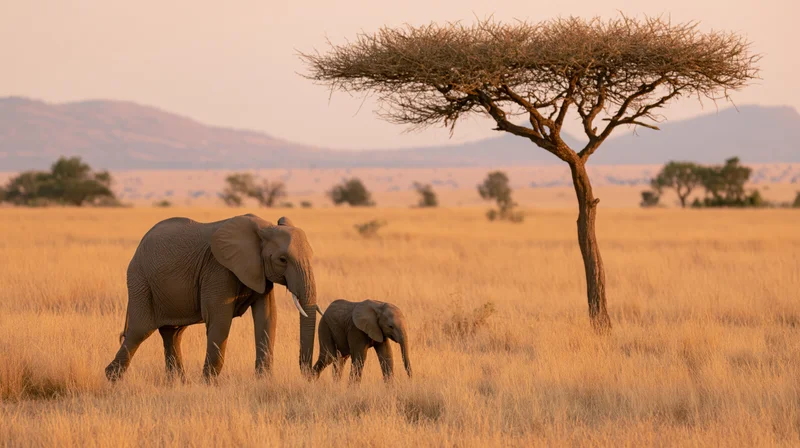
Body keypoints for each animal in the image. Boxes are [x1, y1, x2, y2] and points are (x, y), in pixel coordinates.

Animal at [104, 214, 318, 382]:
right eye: (282, 260)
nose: (309, 374)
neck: (264, 227)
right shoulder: (217, 269)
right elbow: (220, 320)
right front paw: (209, 384)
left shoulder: (259, 272)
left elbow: (267, 317)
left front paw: (263, 381)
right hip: (140, 280)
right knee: (140, 330)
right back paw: (111, 378)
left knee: (172, 333)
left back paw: (178, 384)